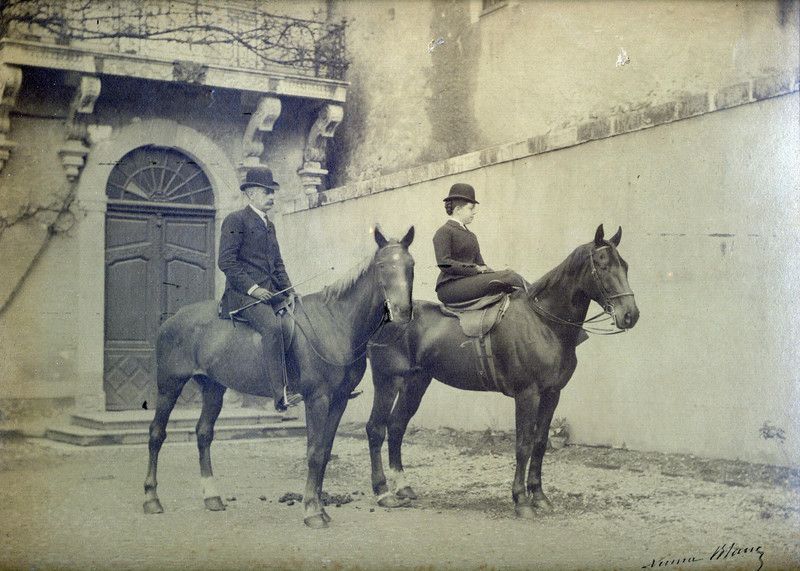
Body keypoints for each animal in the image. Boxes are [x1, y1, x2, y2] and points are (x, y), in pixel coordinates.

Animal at [144, 226, 416, 528]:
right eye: (381, 266)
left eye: (411, 266)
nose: (403, 312)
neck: (336, 323)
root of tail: (172, 318)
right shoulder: (317, 399)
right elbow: (314, 452)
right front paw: (312, 511)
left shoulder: (339, 399)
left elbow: (325, 451)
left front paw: (320, 507)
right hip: (169, 385)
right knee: (156, 434)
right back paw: (152, 499)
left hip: (214, 388)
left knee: (203, 434)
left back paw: (212, 496)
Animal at [368, 226, 636, 520]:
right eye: (602, 265)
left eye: (624, 265)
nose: (630, 315)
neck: (543, 322)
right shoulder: (527, 394)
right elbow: (523, 444)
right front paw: (521, 500)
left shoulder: (552, 394)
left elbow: (540, 443)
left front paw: (539, 496)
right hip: (387, 380)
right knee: (376, 428)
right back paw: (382, 491)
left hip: (416, 382)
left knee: (396, 426)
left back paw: (403, 487)